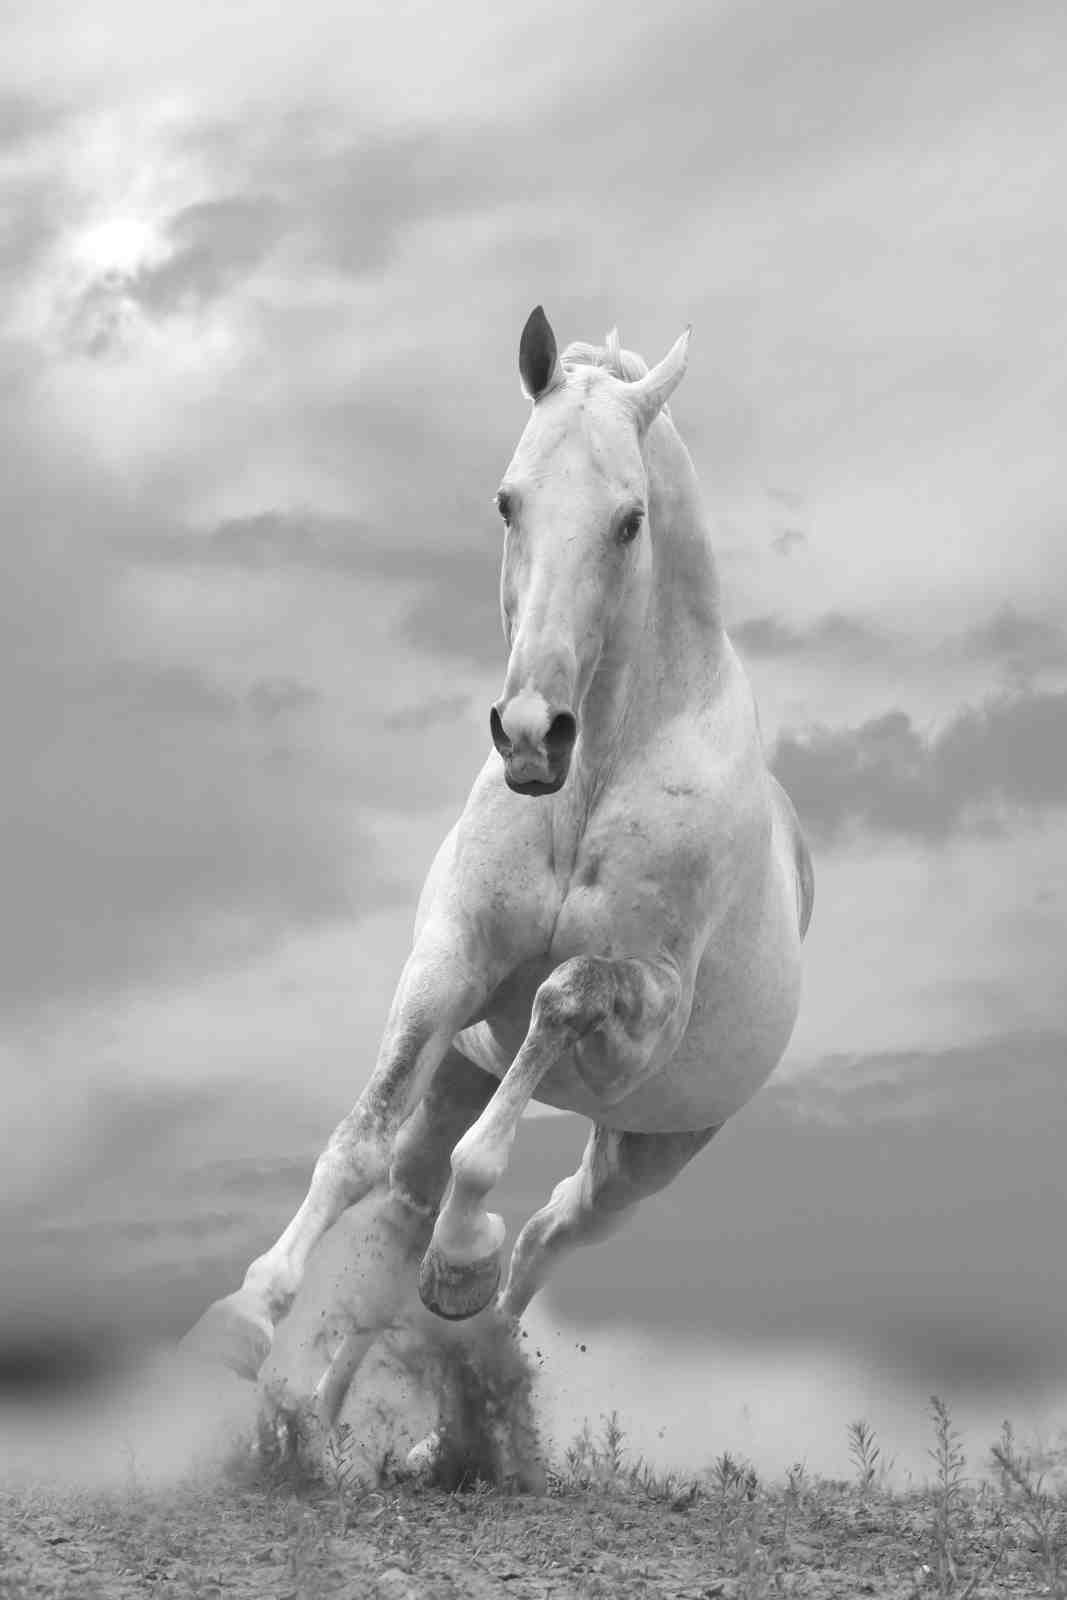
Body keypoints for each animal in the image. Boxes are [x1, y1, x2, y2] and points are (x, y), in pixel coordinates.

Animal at [183, 305, 814, 1455]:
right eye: (506, 500)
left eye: (629, 520)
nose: (529, 734)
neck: (594, 774)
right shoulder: (450, 963)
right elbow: (355, 1144)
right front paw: (244, 1315)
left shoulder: (641, 1009)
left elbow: (557, 1006)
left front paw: (462, 1253)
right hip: (464, 1076)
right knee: (401, 1206)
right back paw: (320, 1422)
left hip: (648, 1153)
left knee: (545, 1236)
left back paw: (456, 1371)